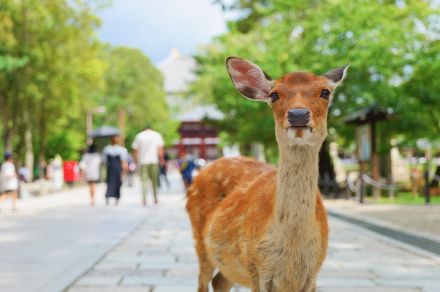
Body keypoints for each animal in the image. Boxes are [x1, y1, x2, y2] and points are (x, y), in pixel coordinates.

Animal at [187, 56, 348, 290]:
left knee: (219, 281)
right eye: (274, 94)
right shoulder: (256, 268)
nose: (298, 114)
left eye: (325, 92)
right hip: (200, 240)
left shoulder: (314, 273)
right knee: (203, 281)